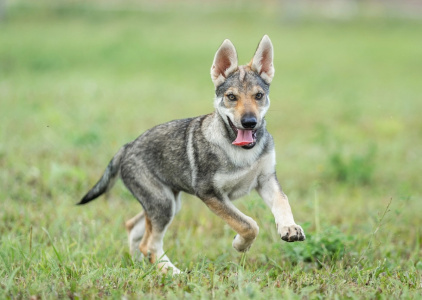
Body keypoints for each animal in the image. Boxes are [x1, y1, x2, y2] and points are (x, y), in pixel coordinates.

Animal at [78, 35, 304, 274]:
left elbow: (282, 202)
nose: (249, 122)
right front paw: (240, 245)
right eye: (231, 97)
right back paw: (172, 273)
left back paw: (138, 266)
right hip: (163, 204)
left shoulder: (266, 179)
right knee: (148, 244)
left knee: (134, 228)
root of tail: (127, 147)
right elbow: (248, 224)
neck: (240, 152)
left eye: (258, 96)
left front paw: (289, 227)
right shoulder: (210, 194)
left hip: (167, 204)